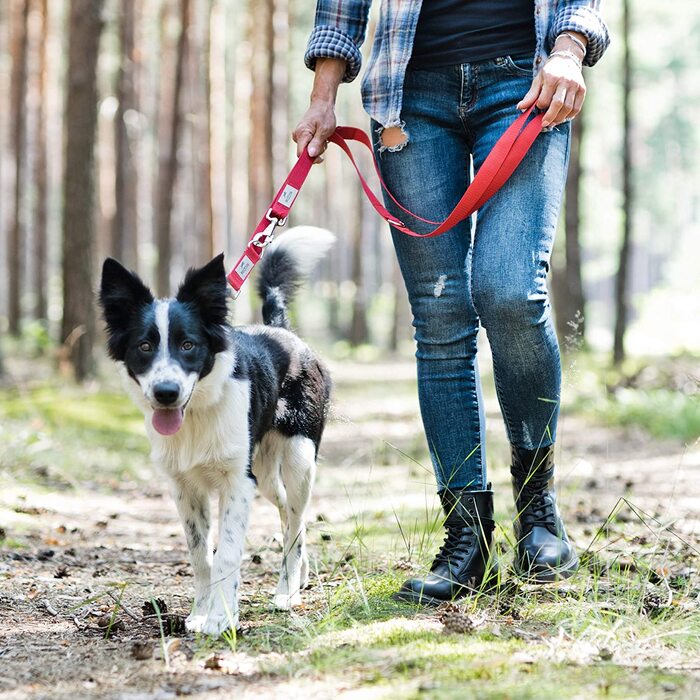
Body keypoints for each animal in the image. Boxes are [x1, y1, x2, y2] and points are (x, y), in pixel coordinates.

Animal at [99, 227, 336, 636]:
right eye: (144, 346)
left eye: (188, 344)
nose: (166, 393)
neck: (196, 412)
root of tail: (282, 331)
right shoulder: (185, 488)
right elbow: (201, 557)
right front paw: (200, 614)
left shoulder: (238, 483)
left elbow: (225, 553)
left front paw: (222, 619)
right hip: (266, 476)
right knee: (293, 519)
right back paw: (298, 579)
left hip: (299, 460)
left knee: (295, 521)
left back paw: (286, 593)